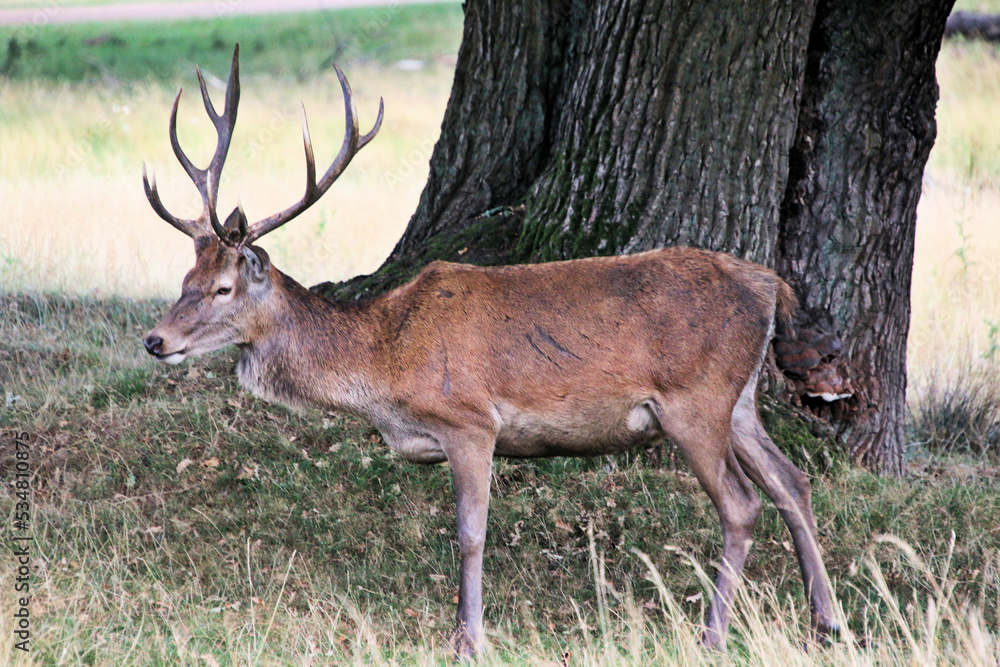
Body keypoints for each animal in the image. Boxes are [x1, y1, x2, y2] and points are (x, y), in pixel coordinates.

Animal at [141, 46, 839, 656]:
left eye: (224, 287)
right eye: (186, 278)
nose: (155, 340)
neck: (384, 366)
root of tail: (768, 284)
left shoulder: (470, 420)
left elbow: (470, 534)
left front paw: (468, 639)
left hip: (695, 399)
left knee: (743, 504)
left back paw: (714, 635)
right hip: (739, 400)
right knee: (792, 482)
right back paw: (825, 622)